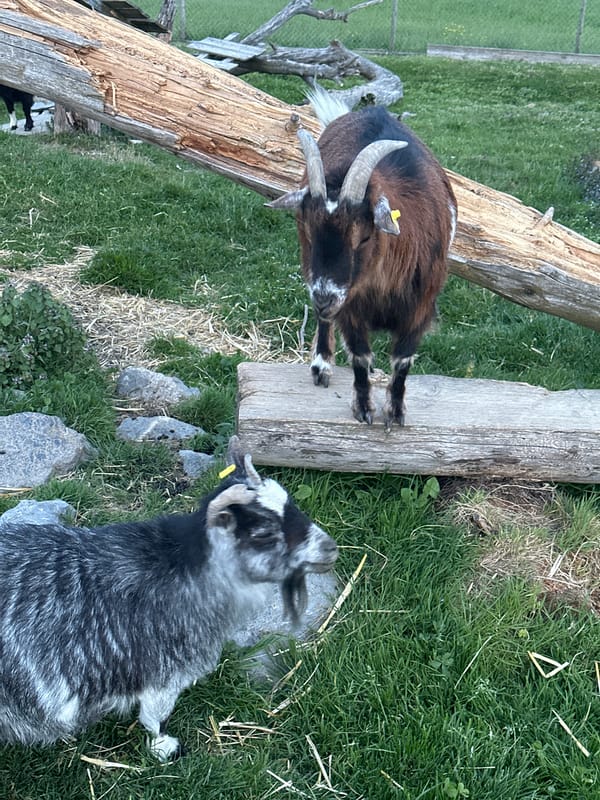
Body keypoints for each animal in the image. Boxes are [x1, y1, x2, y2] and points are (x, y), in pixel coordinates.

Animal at [0, 436, 337, 761]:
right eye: (264, 534)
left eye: (291, 503)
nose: (330, 549)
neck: (184, 569)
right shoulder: (164, 673)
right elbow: (155, 717)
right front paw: (165, 748)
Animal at [269, 91, 457, 428]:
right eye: (306, 229)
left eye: (365, 238)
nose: (324, 297)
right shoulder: (350, 305)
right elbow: (359, 355)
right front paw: (364, 408)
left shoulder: (421, 305)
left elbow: (403, 360)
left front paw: (396, 412)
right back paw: (321, 365)